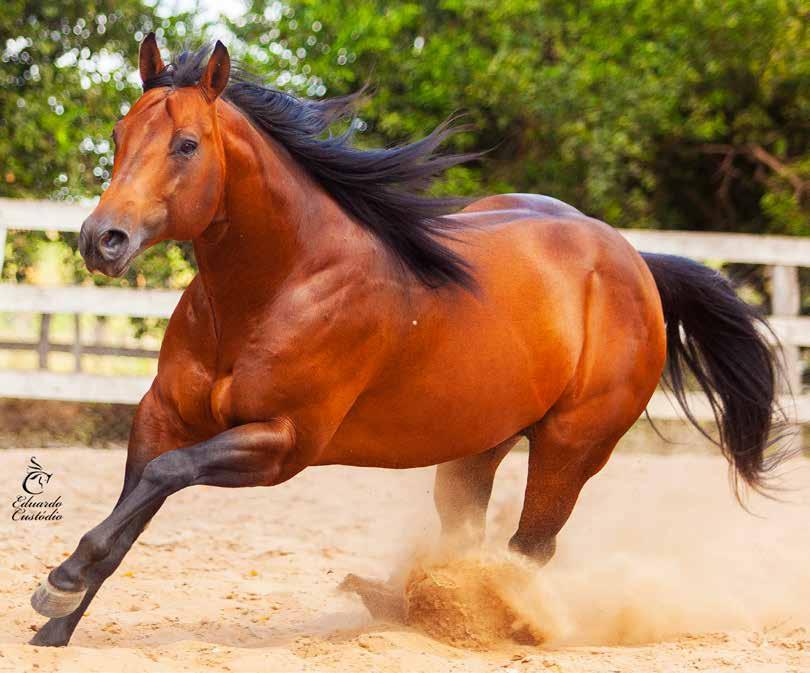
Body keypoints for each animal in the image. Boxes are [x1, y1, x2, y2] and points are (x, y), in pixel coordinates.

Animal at [30, 36, 784, 644]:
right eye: (120, 134)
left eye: (186, 144)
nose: (102, 240)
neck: (280, 284)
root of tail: (632, 260)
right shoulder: (161, 415)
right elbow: (138, 501)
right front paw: (56, 624)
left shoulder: (284, 442)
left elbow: (165, 476)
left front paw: (60, 581)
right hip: (477, 444)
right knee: (469, 534)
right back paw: (407, 602)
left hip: (572, 447)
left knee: (528, 550)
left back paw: (488, 620)